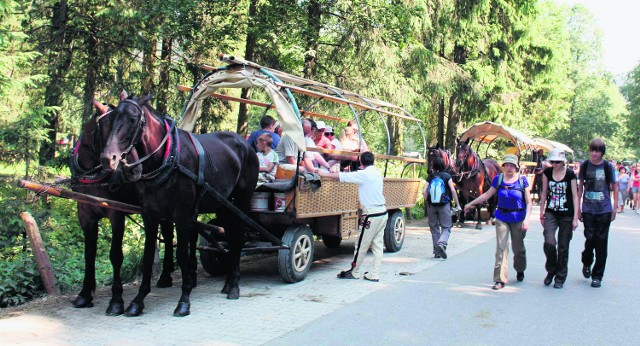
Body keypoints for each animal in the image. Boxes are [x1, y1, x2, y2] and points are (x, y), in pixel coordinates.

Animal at [71, 98, 175, 314]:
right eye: (106, 127)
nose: (133, 170)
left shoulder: (116, 213)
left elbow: (116, 255)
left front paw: (116, 300)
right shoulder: (85, 215)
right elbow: (89, 254)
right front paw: (84, 294)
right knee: (169, 233)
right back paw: (165, 276)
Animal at [98, 93, 258, 314]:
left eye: (132, 119)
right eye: (111, 120)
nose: (108, 158)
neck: (166, 158)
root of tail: (246, 144)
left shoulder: (182, 214)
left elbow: (181, 254)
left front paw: (184, 300)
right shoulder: (150, 214)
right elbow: (148, 257)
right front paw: (138, 300)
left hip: (241, 200)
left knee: (239, 236)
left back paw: (234, 285)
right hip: (224, 204)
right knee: (232, 235)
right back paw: (228, 283)